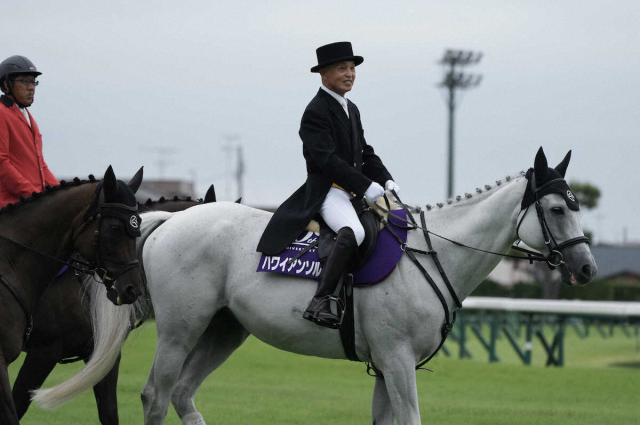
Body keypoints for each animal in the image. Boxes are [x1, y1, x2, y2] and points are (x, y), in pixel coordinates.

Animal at [0, 166, 145, 424]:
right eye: (115, 228)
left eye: (138, 228)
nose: (132, 289)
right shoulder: (41, 353)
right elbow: (14, 410)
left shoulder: (103, 354)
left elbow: (109, 412)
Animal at [35, 147, 596, 422]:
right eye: (555, 209)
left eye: (577, 206)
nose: (587, 269)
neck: (434, 253)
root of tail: (174, 221)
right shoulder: (396, 360)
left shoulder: (387, 365)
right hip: (181, 328)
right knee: (157, 394)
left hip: (224, 331)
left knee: (183, 396)